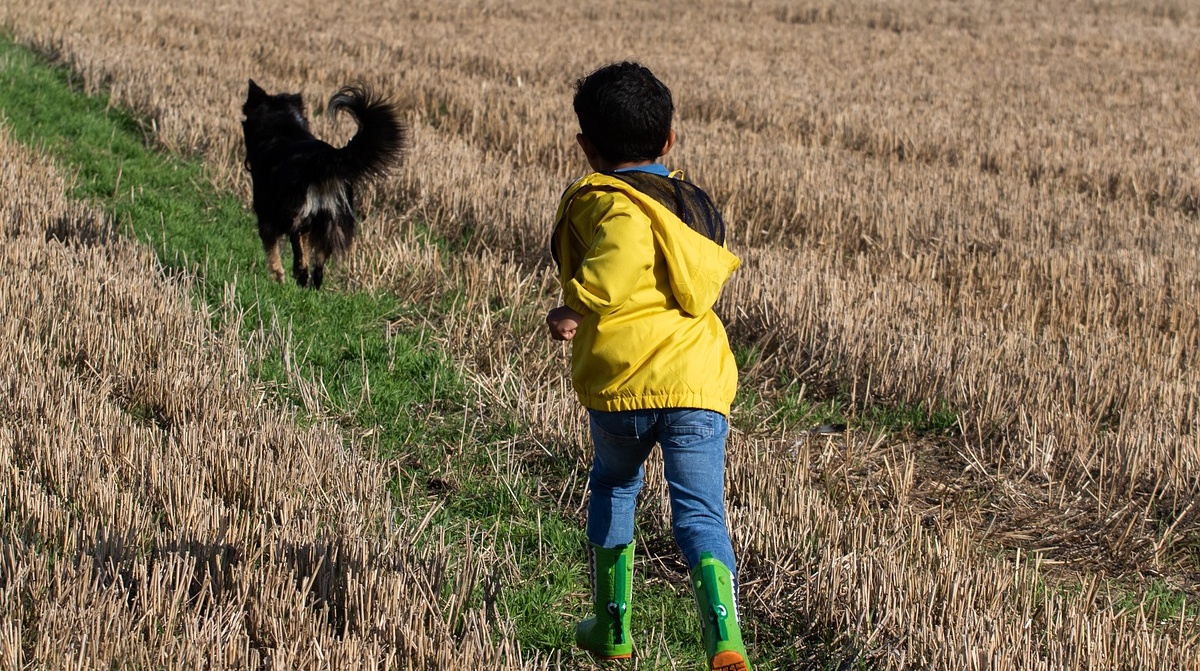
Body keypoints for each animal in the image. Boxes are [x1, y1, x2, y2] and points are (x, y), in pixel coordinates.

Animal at [241, 78, 405, 289]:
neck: (282, 129)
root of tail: (324, 158)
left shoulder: (266, 215)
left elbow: (272, 251)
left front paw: (278, 277)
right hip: (333, 220)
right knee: (319, 262)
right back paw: (312, 287)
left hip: (298, 213)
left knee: (299, 246)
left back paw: (301, 276)